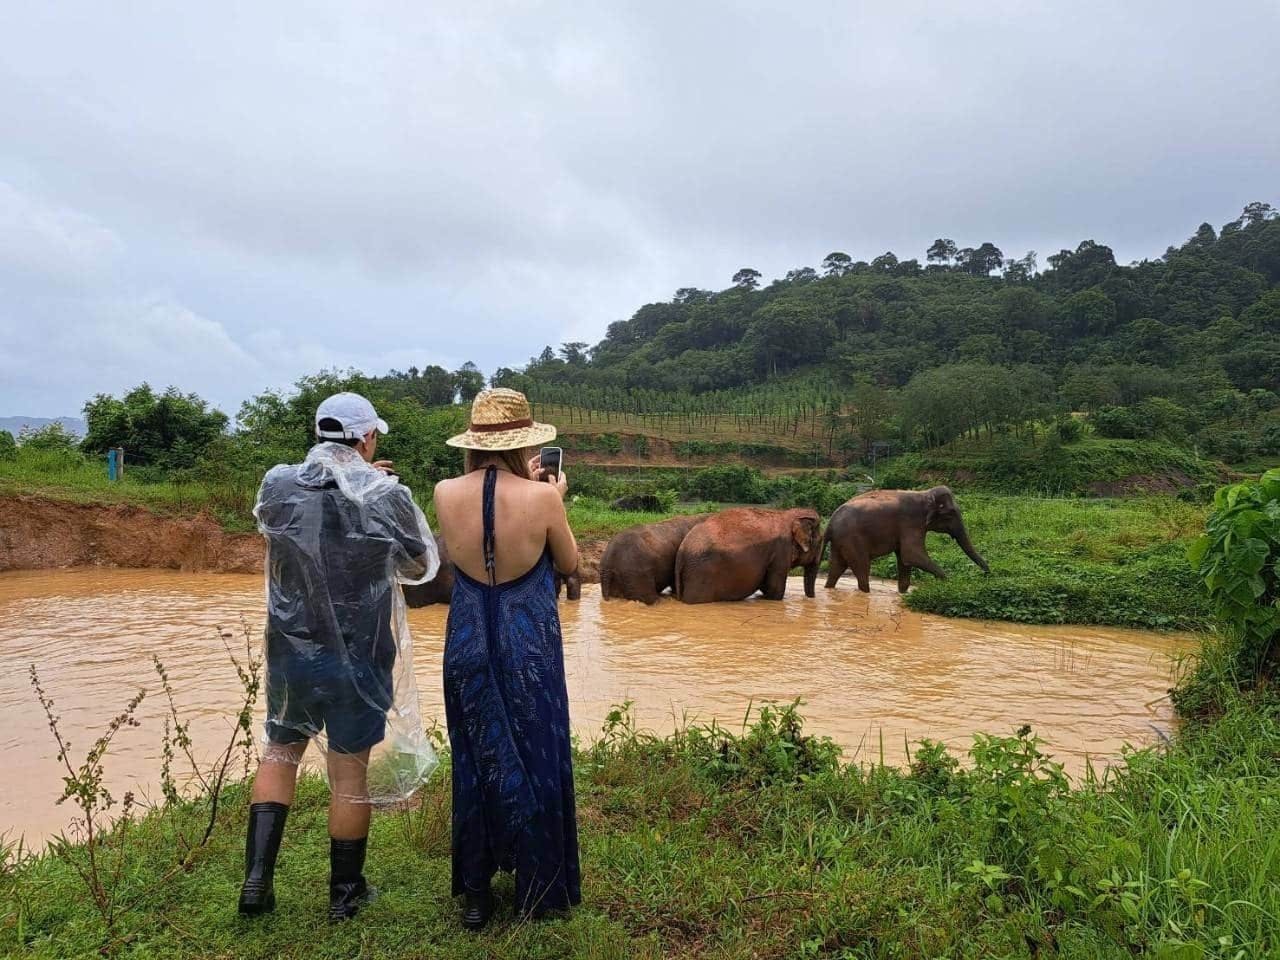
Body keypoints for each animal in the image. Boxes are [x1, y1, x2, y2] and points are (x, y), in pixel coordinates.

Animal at [670, 506, 819, 604]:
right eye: (818, 541)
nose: (812, 599)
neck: (789, 514)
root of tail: (681, 551)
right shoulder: (781, 550)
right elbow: (774, 589)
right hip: (701, 574)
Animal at [819, 488, 988, 593]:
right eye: (950, 514)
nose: (987, 575)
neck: (924, 494)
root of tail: (829, 524)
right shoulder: (911, 523)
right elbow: (912, 555)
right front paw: (948, 584)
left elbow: (904, 559)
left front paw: (903, 593)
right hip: (852, 540)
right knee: (862, 568)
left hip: (840, 541)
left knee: (837, 568)